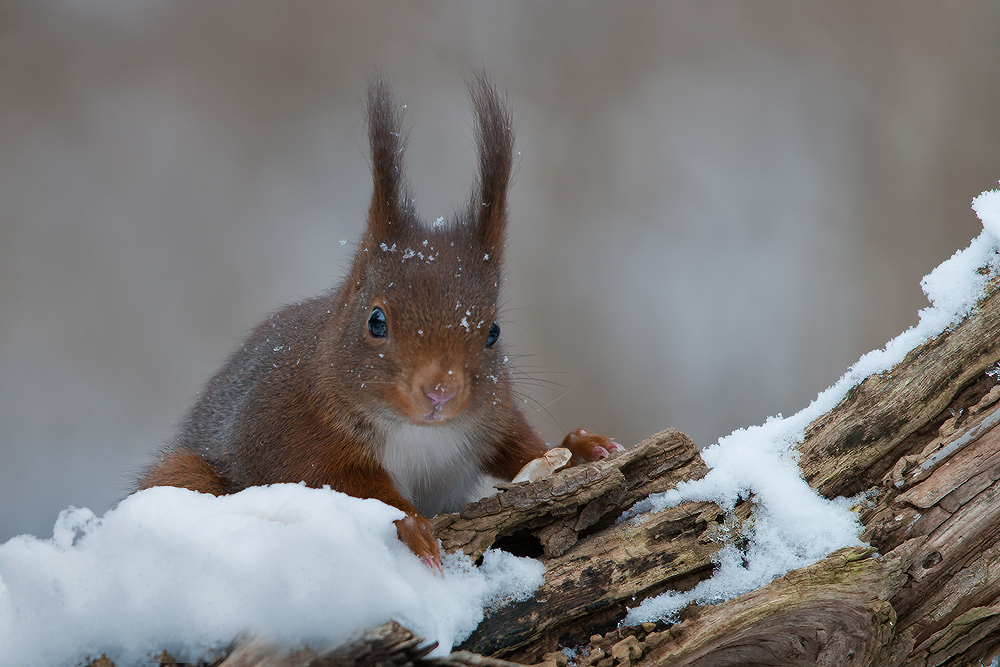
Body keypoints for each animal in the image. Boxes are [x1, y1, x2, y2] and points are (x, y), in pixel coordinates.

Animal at [133, 75, 616, 572]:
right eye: (376, 320)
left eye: (493, 332)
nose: (439, 391)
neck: (419, 433)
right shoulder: (295, 436)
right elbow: (349, 486)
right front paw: (413, 522)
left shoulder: (491, 413)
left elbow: (518, 446)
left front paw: (579, 447)